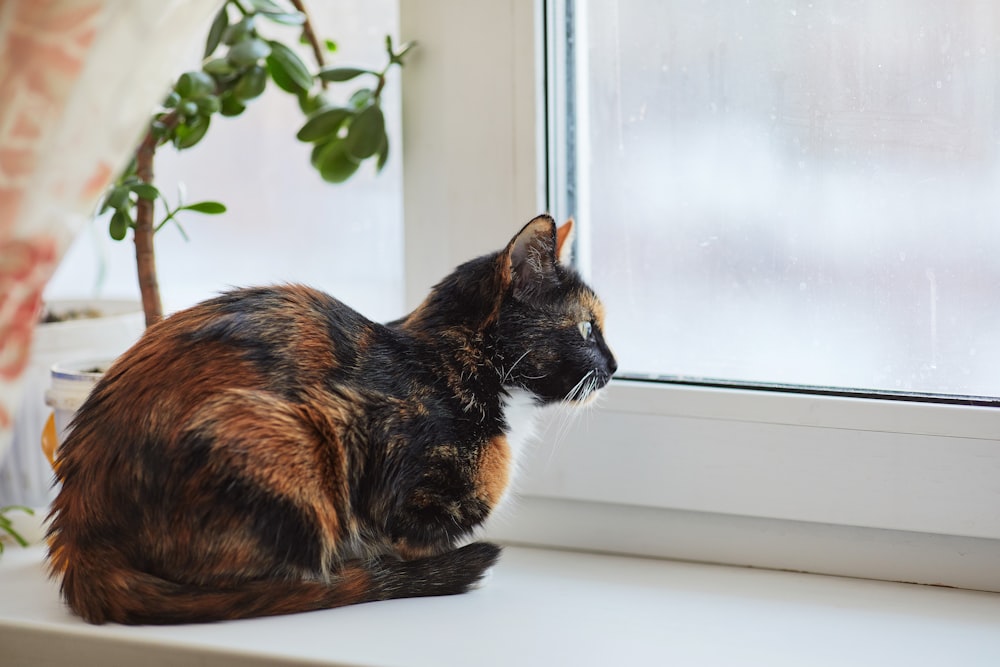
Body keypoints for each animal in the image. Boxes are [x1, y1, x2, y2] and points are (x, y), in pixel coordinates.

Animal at [47, 215, 616, 628]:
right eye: (588, 328)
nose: (615, 366)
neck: (456, 367)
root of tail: (78, 537)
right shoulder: (401, 485)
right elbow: (409, 537)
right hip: (274, 441)